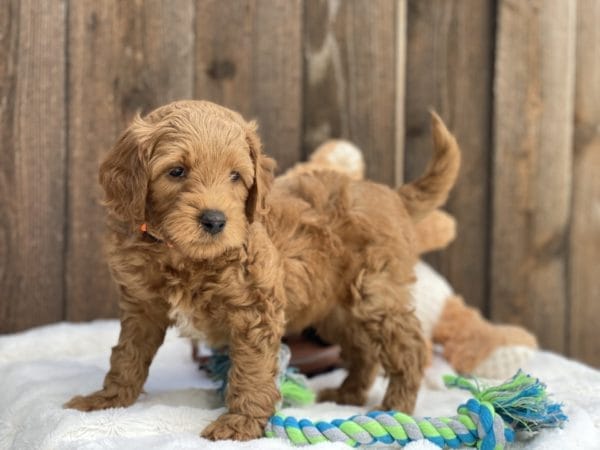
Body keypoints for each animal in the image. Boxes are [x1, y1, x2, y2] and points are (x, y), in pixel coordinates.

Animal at [64, 100, 460, 442]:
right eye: (176, 171)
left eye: (236, 176)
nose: (214, 220)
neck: (185, 256)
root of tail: (390, 195)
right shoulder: (141, 307)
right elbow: (127, 355)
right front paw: (109, 400)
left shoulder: (254, 308)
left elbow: (251, 371)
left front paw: (240, 423)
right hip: (335, 307)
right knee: (363, 349)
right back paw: (347, 394)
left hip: (374, 293)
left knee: (409, 347)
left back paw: (395, 409)